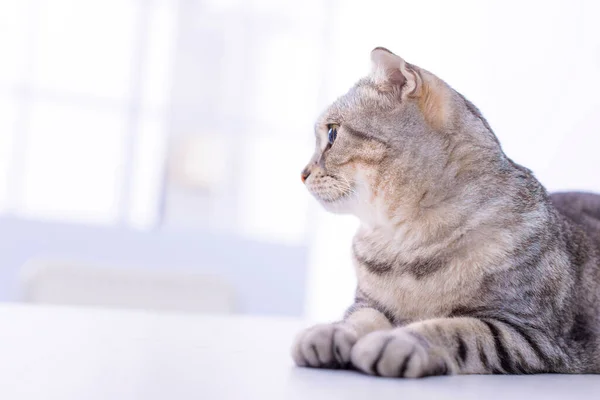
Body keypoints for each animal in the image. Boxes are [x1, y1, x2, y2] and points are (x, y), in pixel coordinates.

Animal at [290, 47, 600, 378]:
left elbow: (455, 329)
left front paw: (397, 341)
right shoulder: (367, 303)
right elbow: (359, 319)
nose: (302, 174)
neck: (403, 243)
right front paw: (331, 332)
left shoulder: (528, 332)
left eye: (332, 135)